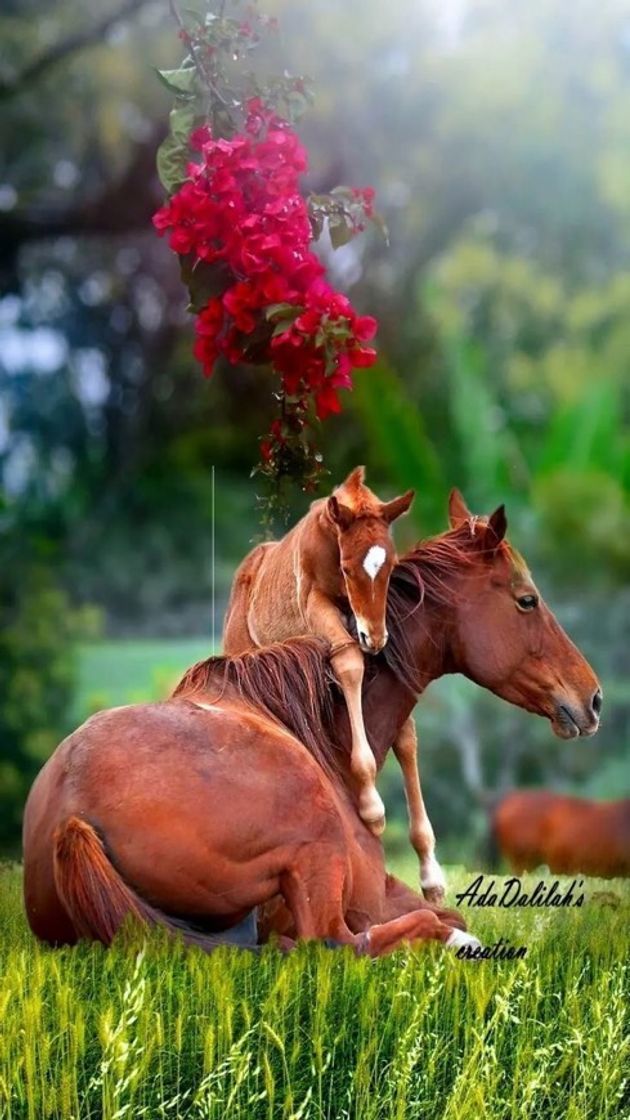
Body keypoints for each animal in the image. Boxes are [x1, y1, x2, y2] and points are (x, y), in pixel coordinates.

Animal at [221, 459, 412, 837]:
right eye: (347, 568)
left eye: (390, 566)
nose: (374, 637)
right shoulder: (314, 604)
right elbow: (350, 661)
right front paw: (372, 808)